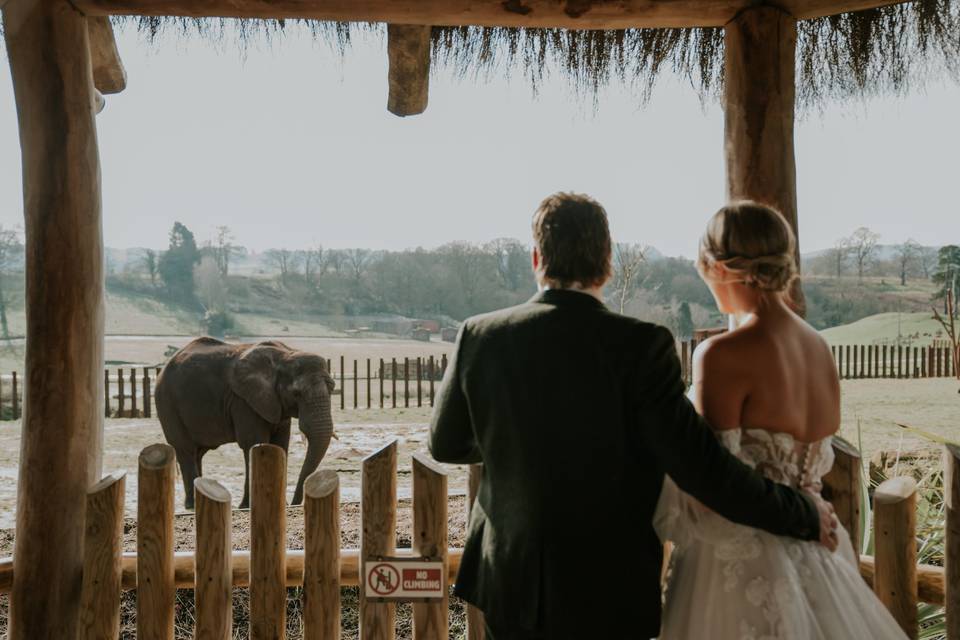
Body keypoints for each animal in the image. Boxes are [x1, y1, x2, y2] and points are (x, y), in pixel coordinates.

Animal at [156, 336, 336, 510]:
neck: (286, 354)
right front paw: (247, 506)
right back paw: (192, 505)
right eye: (297, 394)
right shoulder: (243, 401)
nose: (294, 504)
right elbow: (255, 443)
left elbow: (279, 445)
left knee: (197, 453)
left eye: (332, 388)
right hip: (167, 404)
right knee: (185, 449)